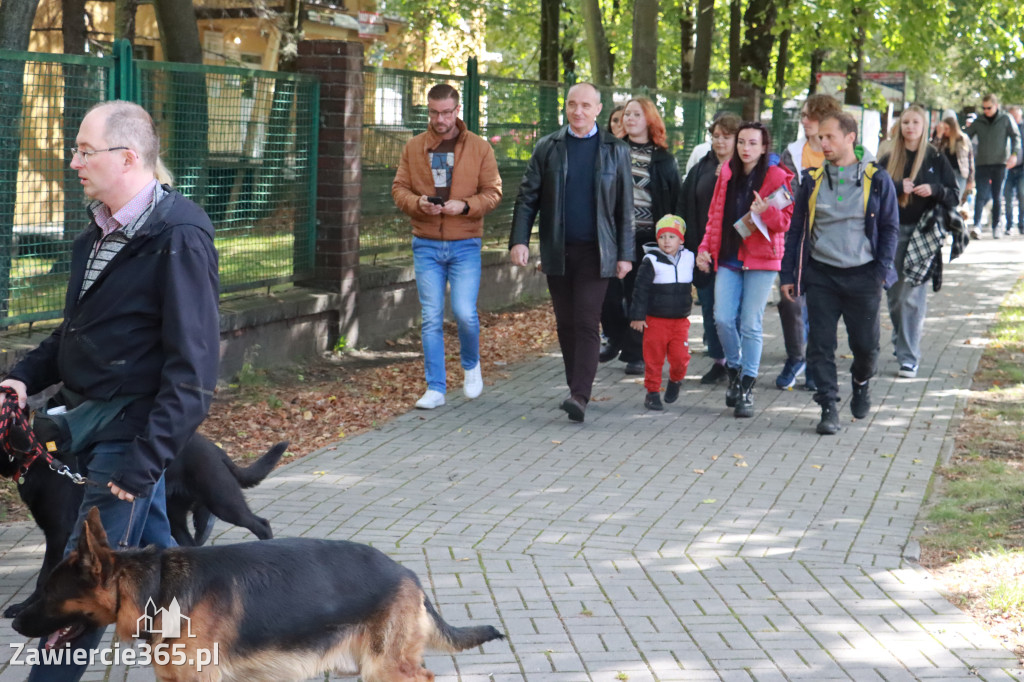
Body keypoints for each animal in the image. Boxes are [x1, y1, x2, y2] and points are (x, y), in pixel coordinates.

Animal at [2, 428, 288, 618]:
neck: (34, 462)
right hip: (175, 516)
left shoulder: (58, 534)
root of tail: (216, 448)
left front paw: (25, 607)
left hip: (222, 500)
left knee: (261, 524)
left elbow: (43, 577)